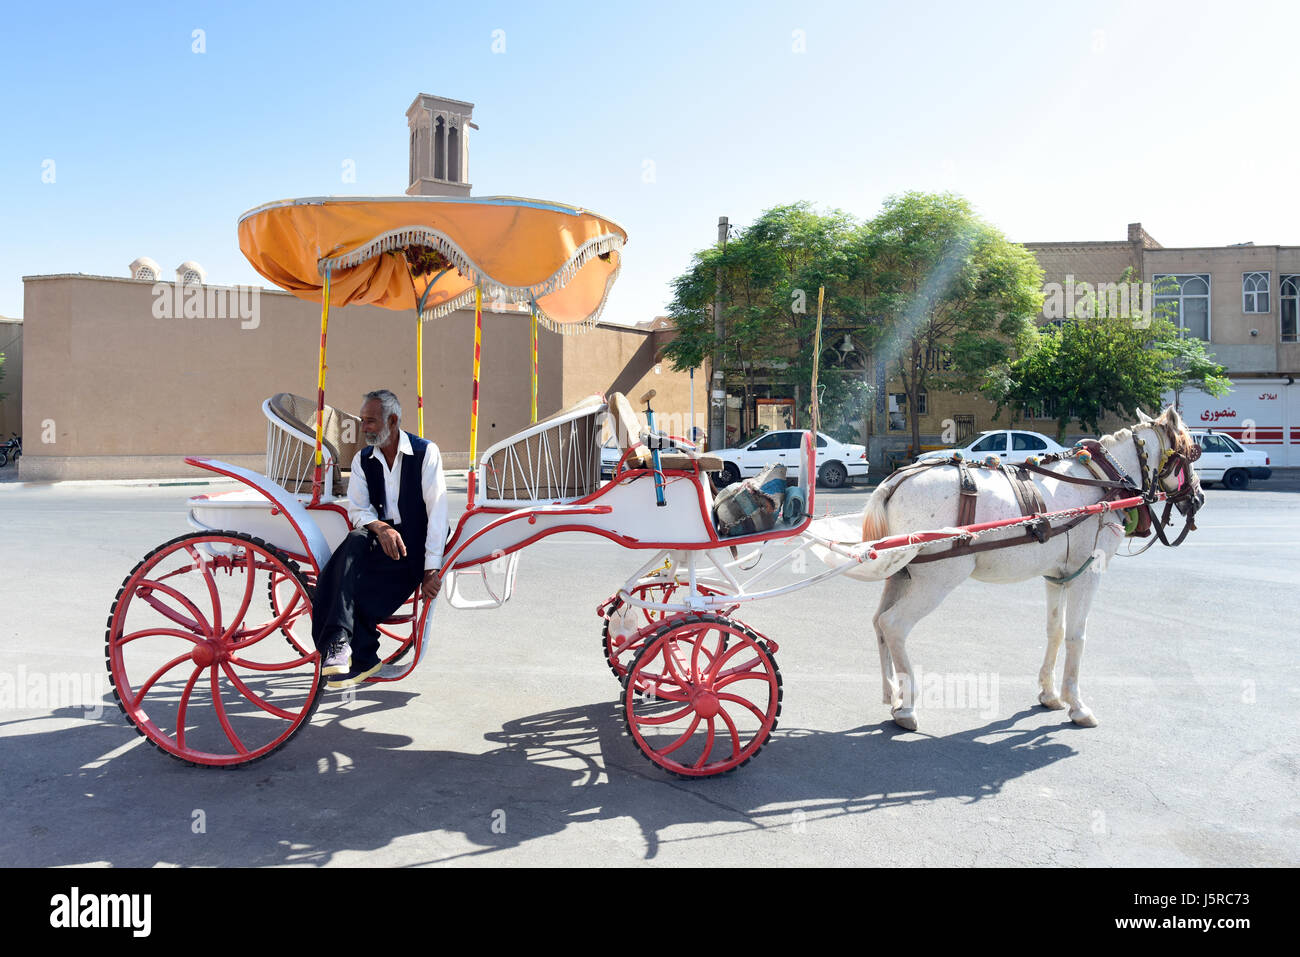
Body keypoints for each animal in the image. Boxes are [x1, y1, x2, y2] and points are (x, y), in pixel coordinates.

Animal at [857, 405, 1201, 733]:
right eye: (1191, 451)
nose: (1198, 497)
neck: (1102, 481)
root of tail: (895, 482)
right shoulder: (1088, 572)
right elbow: (1076, 636)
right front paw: (1077, 705)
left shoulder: (1058, 576)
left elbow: (1055, 631)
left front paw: (1050, 694)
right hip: (936, 580)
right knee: (894, 625)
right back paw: (906, 707)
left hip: (902, 574)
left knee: (877, 623)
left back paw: (892, 693)